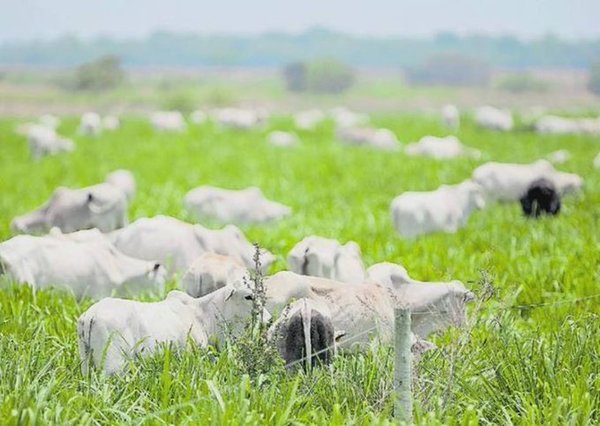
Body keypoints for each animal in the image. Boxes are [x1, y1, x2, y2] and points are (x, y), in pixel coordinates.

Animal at [77, 284, 270, 374]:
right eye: (248, 296)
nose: (268, 320)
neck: (204, 315)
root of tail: (89, 315)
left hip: (86, 363)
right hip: (113, 365)